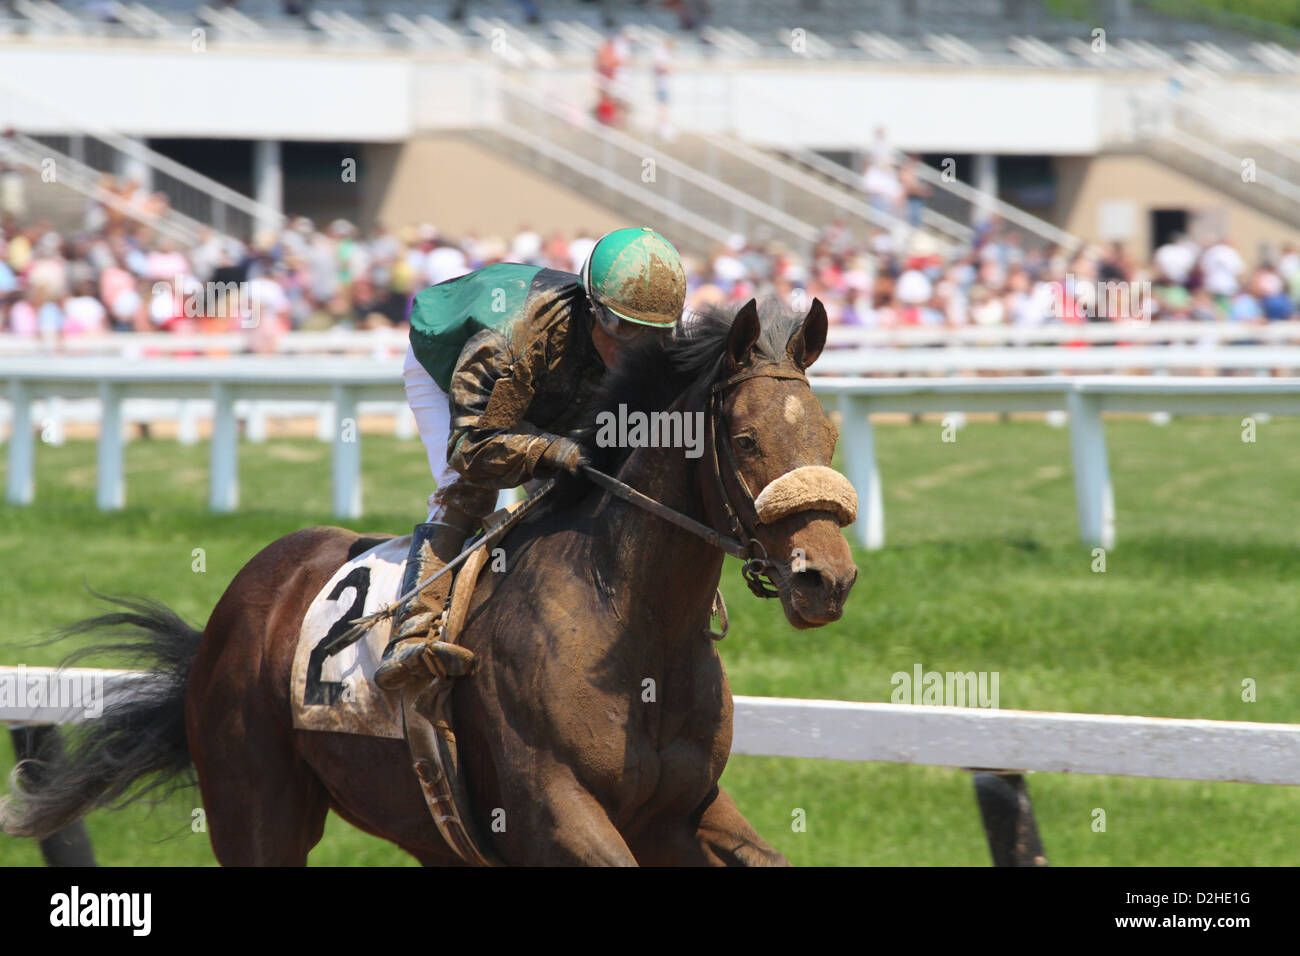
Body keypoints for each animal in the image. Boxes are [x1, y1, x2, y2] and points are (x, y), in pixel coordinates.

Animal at [5, 300, 857, 868]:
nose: (828, 579)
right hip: (256, 809)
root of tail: (242, 599)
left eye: (827, 434)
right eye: (744, 439)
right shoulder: (550, 811)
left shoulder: (683, 812)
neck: (630, 626)